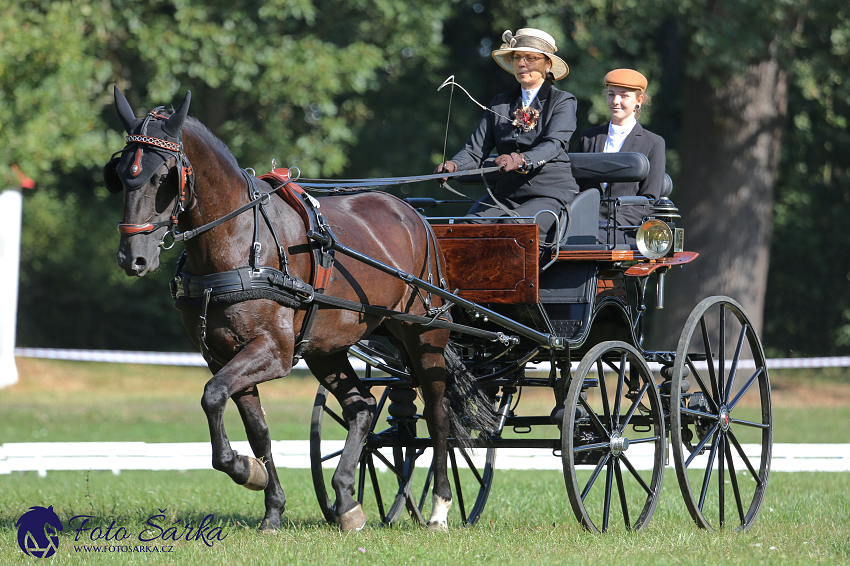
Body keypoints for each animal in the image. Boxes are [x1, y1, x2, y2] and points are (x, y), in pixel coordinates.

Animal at [107, 87, 464, 532]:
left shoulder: (273, 352)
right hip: (327, 349)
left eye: (162, 178)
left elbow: (212, 395)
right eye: (121, 175)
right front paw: (269, 502)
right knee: (361, 408)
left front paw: (246, 471)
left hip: (424, 333)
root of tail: (415, 216)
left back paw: (439, 508)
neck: (238, 240)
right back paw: (346, 500)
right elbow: (254, 427)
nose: (132, 258)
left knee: (437, 413)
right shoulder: (222, 354)